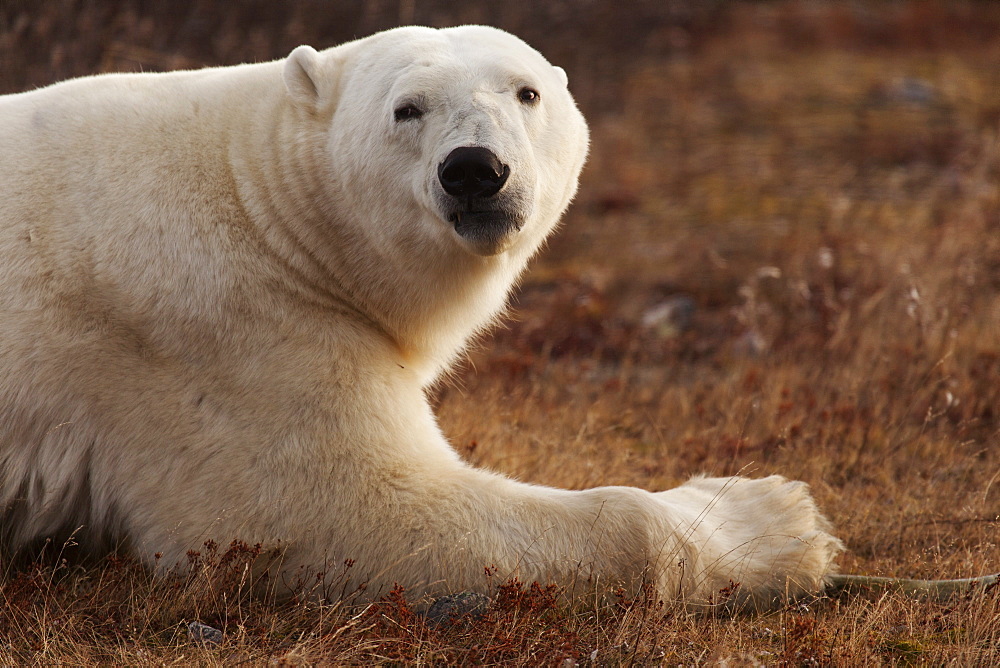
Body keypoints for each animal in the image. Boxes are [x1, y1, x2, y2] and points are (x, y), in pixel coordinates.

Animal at [0, 27, 844, 612]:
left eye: (526, 92)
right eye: (407, 108)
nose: (475, 170)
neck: (263, 204)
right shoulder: (219, 333)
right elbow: (350, 513)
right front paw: (780, 519)